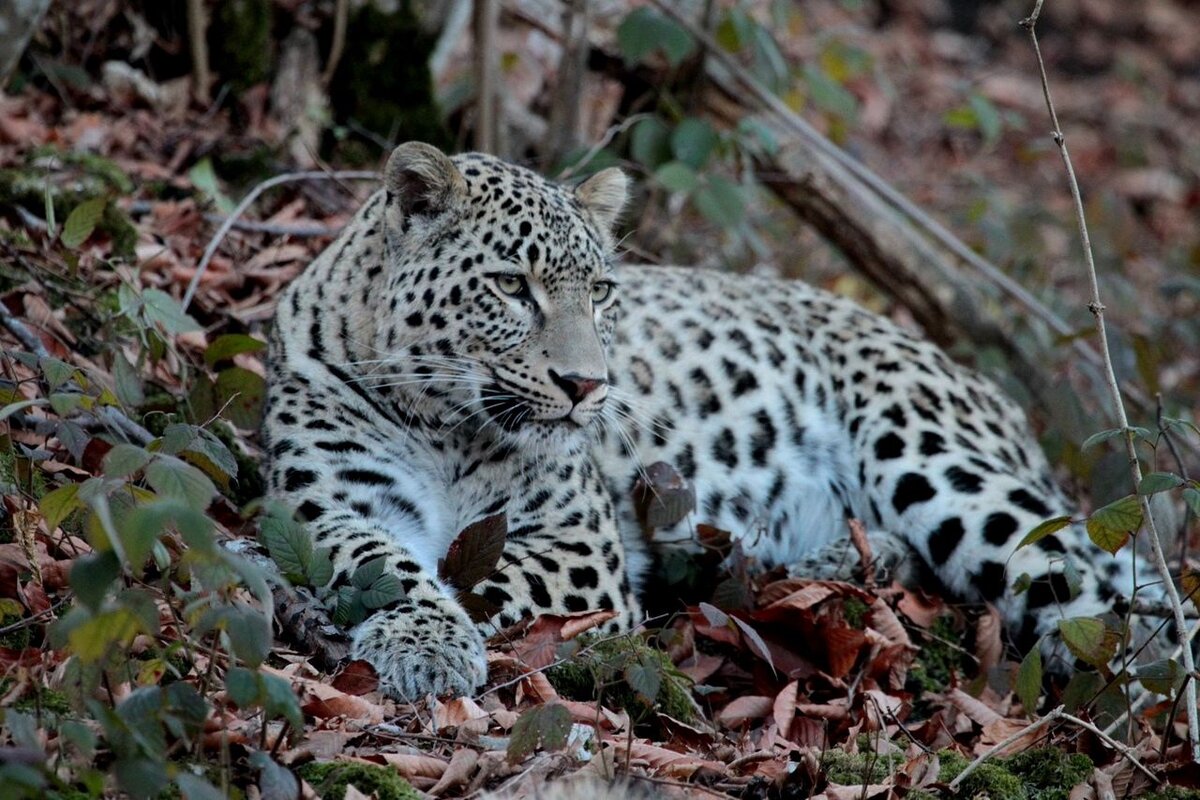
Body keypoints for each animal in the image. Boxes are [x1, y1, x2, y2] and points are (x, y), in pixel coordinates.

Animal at [265, 140, 1161, 695]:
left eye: (601, 292)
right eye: (512, 286)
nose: (587, 386)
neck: (444, 423)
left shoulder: (581, 546)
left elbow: (471, 572)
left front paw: (432, 639)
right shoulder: (329, 506)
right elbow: (391, 566)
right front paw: (423, 643)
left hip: (936, 460)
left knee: (1105, 595)